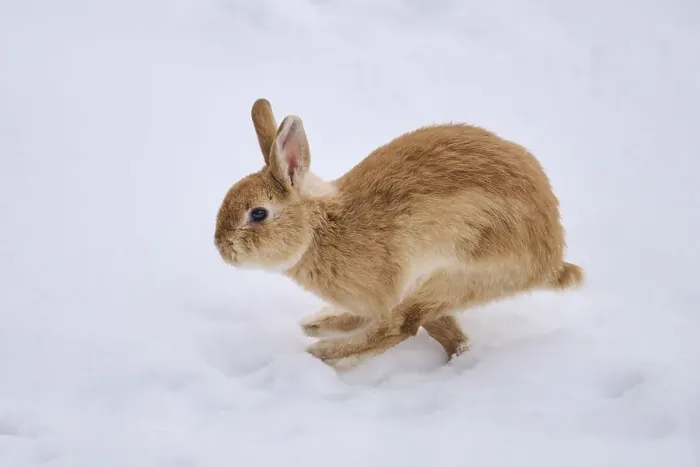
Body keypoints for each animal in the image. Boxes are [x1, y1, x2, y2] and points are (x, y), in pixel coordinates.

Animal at [214, 98, 584, 370]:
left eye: (258, 214)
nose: (221, 248)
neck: (321, 228)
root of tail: (550, 258)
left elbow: (391, 327)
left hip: (447, 276)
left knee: (403, 327)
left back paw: (325, 353)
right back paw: (319, 324)